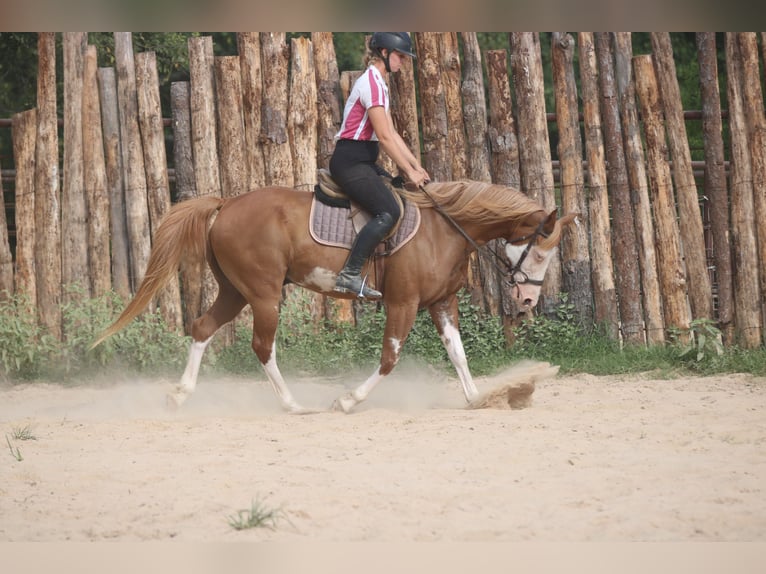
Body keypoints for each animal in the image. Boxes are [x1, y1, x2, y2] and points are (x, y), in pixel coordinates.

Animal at [92, 180, 577, 413]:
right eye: (540, 252)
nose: (528, 302)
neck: (446, 228)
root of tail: (226, 205)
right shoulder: (403, 304)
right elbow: (389, 359)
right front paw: (347, 400)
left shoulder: (442, 304)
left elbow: (457, 354)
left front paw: (477, 398)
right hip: (264, 294)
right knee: (262, 346)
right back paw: (292, 405)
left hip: (236, 291)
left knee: (202, 328)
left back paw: (180, 395)